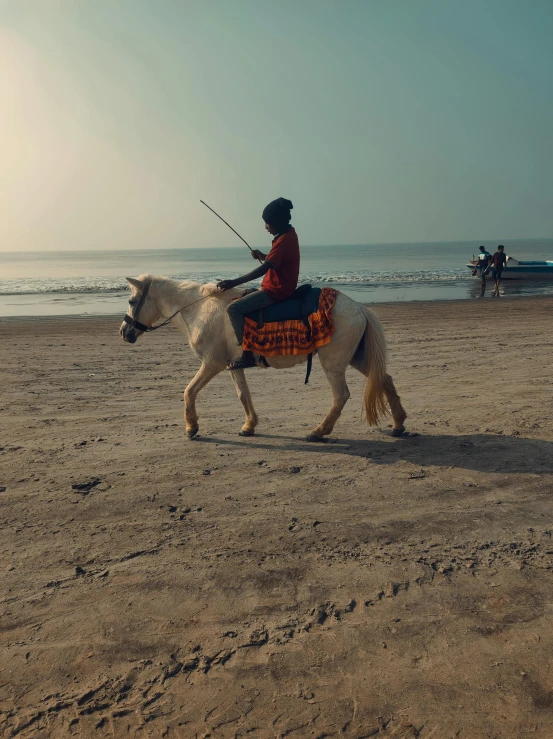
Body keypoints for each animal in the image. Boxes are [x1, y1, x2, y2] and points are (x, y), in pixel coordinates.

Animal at [119, 276, 406, 440]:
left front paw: (191, 427)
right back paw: (399, 424)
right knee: (385, 380)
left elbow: (189, 391)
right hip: (357, 358)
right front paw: (249, 426)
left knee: (341, 396)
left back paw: (318, 431)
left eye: (132, 301)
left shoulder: (211, 364)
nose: (124, 332)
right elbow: (243, 395)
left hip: (333, 364)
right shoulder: (232, 365)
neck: (200, 309)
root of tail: (359, 308)